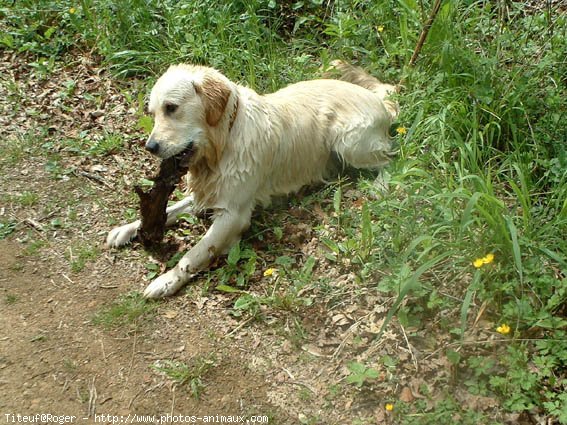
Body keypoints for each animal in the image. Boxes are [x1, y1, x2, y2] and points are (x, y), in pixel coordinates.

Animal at [106, 60, 400, 298]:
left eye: (171, 108)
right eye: (153, 113)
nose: (150, 147)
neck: (223, 144)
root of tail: (378, 100)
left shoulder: (233, 213)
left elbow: (194, 253)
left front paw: (166, 280)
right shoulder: (208, 192)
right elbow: (171, 210)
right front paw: (127, 228)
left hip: (349, 141)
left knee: (392, 160)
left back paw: (380, 186)